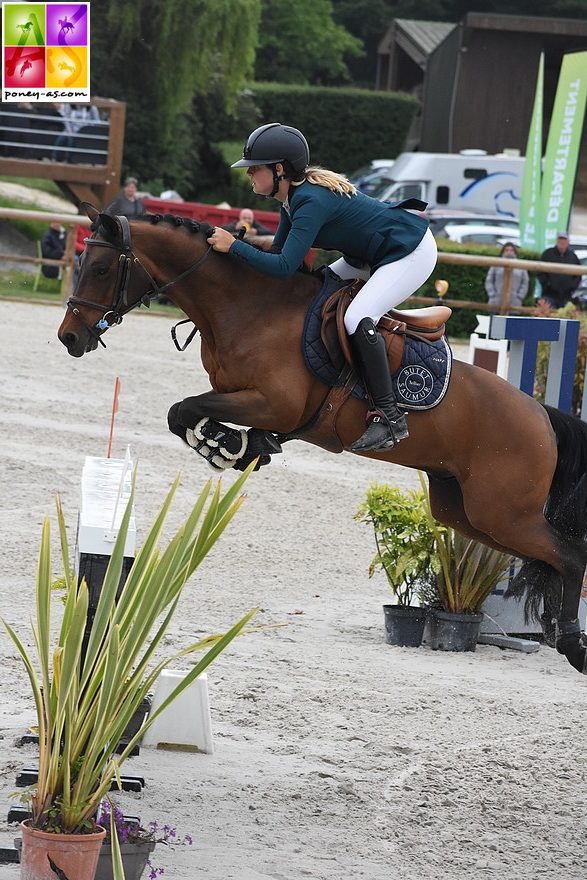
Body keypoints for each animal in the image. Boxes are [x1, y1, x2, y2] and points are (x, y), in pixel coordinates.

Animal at [57, 206, 587, 672]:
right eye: (81, 264)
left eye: (100, 267)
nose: (69, 338)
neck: (250, 308)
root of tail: (541, 415)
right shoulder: (243, 399)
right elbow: (181, 413)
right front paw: (240, 448)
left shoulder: (272, 403)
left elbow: (186, 409)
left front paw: (223, 446)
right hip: (467, 513)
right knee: (547, 557)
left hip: (503, 513)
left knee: (569, 555)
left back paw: (571, 643)